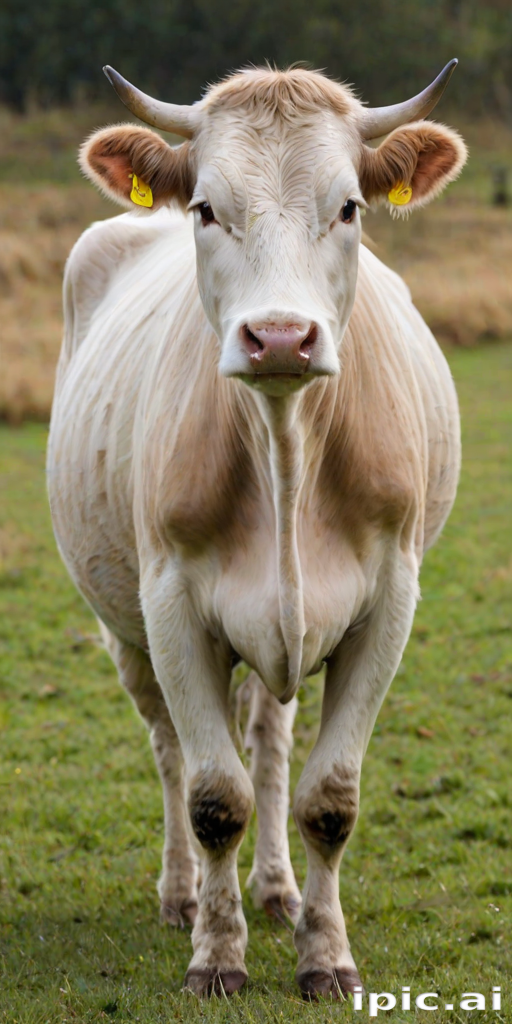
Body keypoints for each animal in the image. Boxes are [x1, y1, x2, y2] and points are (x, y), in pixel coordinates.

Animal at [47, 61, 466, 999]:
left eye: (349, 206)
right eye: (206, 207)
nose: (279, 337)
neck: (283, 448)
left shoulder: (388, 605)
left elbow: (329, 798)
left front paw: (327, 957)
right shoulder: (169, 605)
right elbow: (213, 796)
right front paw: (215, 955)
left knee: (270, 746)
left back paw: (275, 890)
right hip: (126, 626)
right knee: (171, 749)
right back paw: (182, 896)